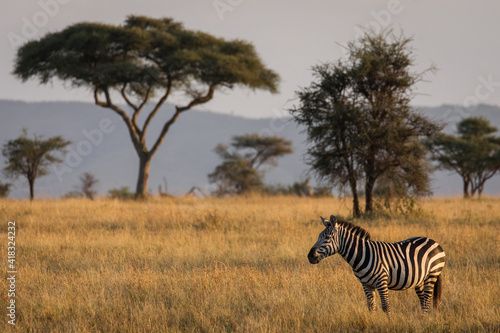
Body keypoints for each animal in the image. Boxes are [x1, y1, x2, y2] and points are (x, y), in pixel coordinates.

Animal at [306, 214, 448, 312]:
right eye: (319, 236)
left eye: (327, 237)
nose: (310, 256)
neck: (361, 254)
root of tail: (434, 242)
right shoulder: (366, 284)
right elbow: (371, 307)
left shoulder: (382, 281)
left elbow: (385, 307)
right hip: (419, 280)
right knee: (423, 301)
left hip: (432, 275)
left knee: (427, 302)